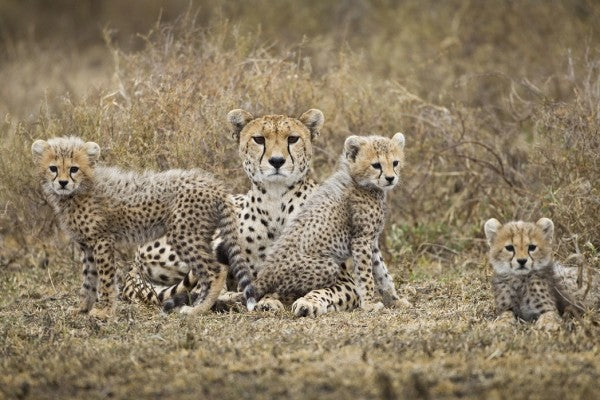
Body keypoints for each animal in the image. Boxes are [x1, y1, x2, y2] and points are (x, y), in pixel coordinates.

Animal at [31, 136, 255, 318]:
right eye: (53, 168)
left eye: (73, 169)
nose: (62, 183)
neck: (79, 190)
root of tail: (211, 183)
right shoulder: (87, 246)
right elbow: (88, 280)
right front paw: (82, 308)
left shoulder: (102, 240)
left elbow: (105, 279)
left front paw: (105, 311)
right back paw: (200, 303)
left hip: (183, 235)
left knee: (216, 270)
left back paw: (198, 309)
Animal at [248, 131, 408, 316]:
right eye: (376, 165)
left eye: (395, 163)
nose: (390, 178)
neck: (364, 184)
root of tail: (263, 274)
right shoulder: (361, 241)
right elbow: (366, 275)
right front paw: (368, 304)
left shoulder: (372, 242)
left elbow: (382, 272)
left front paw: (395, 301)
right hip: (329, 266)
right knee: (280, 289)